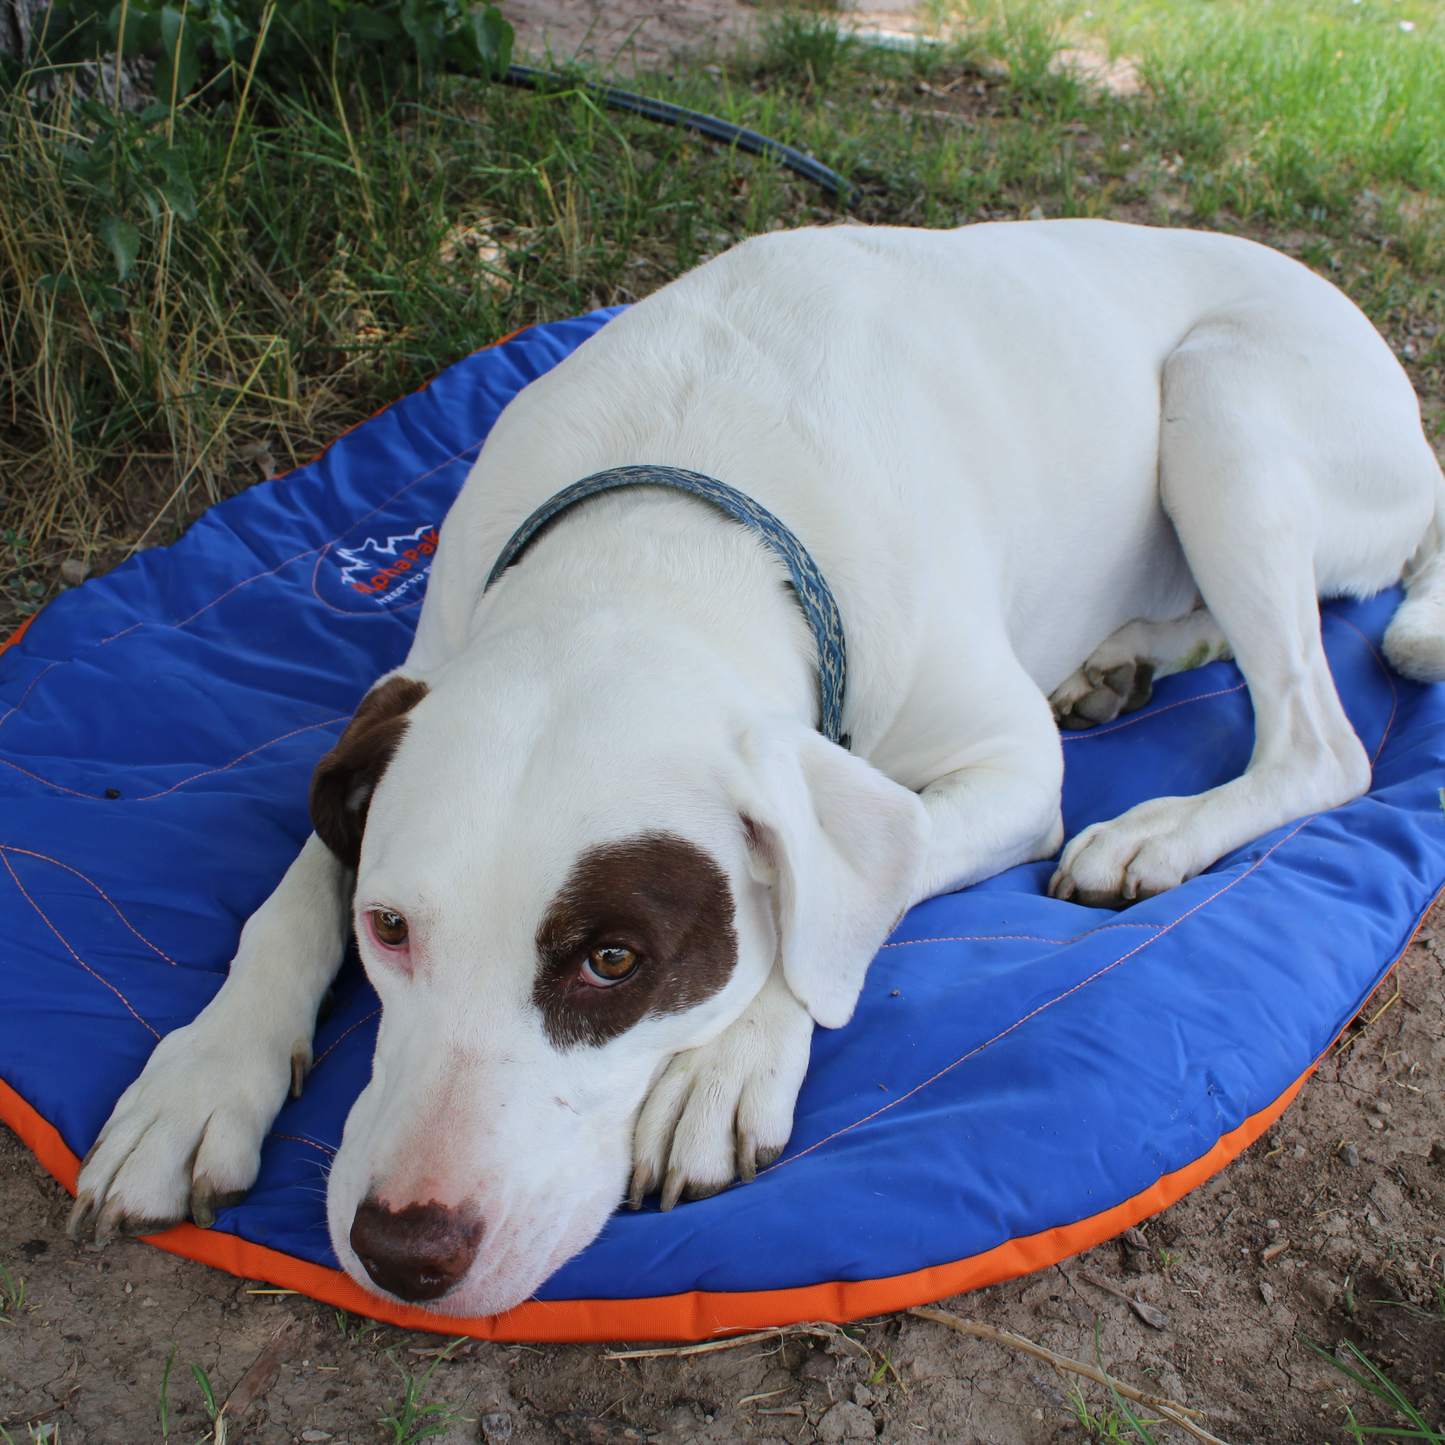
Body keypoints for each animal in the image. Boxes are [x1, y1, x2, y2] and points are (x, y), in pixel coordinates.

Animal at [67, 219, 1445, 1317]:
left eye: (613, 960)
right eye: (391, 927)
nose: (404, 1246)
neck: (671, 525)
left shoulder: (1008, 772)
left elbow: (832, 905)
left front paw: (720, 1065)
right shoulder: (399, 704)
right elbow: (287, 898)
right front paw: (203, 1071)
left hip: (1220, 398)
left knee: (1317, 737)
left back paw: (1154, 825)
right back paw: (1125, 657)